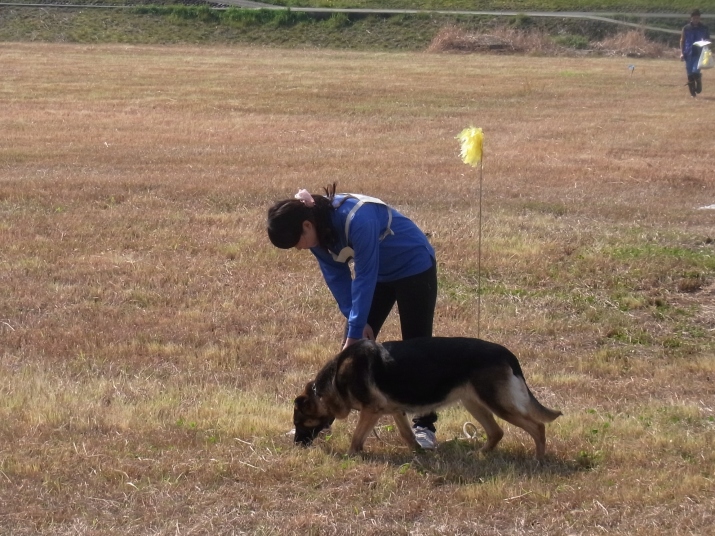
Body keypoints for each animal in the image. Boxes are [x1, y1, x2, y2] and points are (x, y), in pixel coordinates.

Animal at [293, 337, 561, 459]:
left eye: (298, 423)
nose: (296, 445)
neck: (333, 380)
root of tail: (507, 354)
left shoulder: (371, 411)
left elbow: (356, 438)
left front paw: (351, 457)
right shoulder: (395, 410)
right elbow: (407, 435)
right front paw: (418, 453)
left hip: (497, 404)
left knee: (537, 427)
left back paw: (538, 459)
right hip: (474, 403)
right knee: (497, 432)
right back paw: (480, 454)